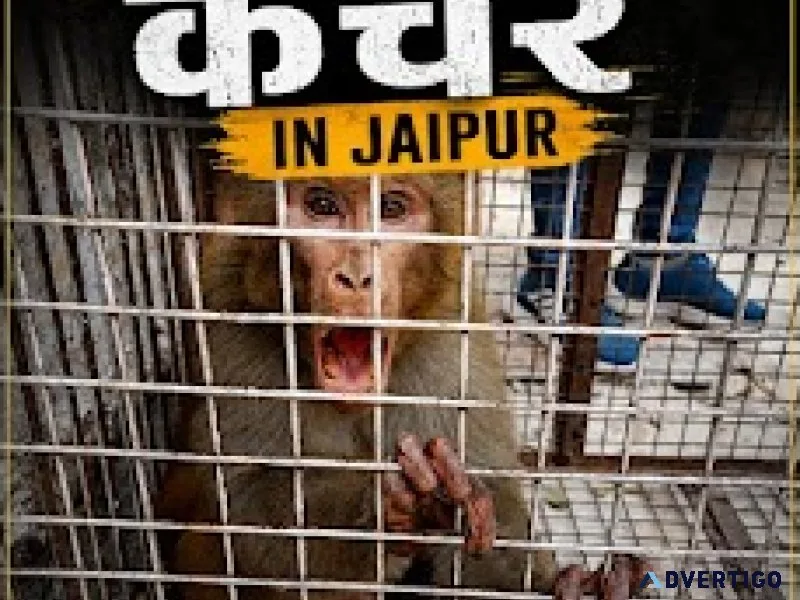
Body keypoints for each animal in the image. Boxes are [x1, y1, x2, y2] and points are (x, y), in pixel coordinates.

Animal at [154, 173, 647, 600]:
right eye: (322, 206)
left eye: (391, 208)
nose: (357, 277)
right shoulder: (228, 311)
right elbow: (239, 503)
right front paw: (391, 504)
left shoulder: (454, 330)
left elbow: (495, 511)